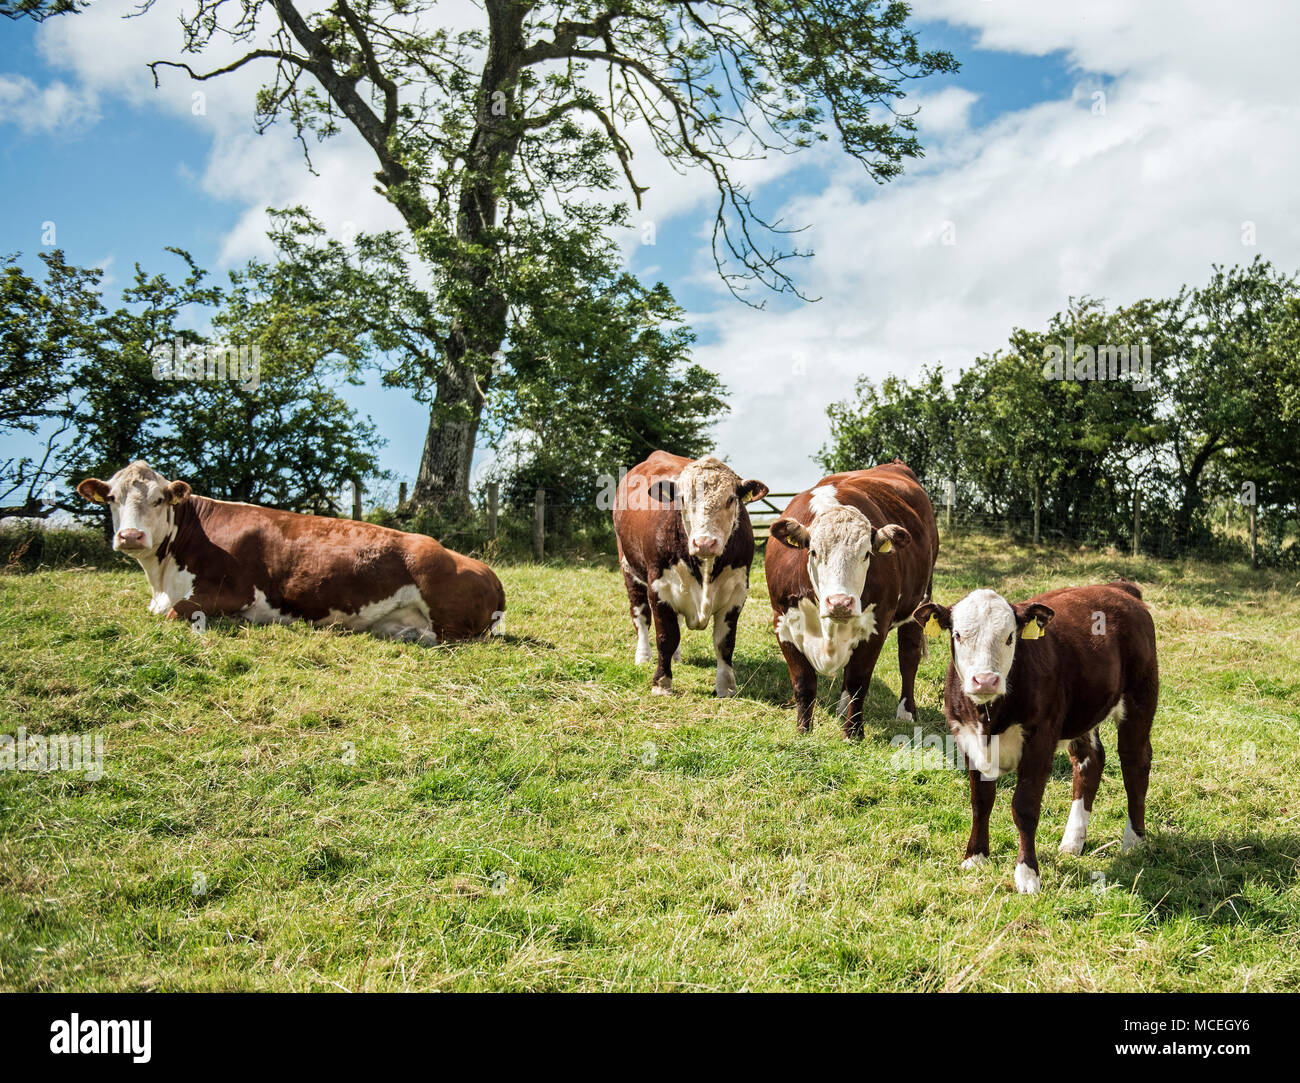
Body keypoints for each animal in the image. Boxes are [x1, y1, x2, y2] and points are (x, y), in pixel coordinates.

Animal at [74, 457, 501, 642]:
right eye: (111, 498)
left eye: (160, 499)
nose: (131, 537)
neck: (162, 579)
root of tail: (487, 571)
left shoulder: (229, 592)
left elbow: (174, 615)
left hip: (442, 602)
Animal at [613, 452, 764, 696]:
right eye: (682, 499)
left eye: (731, 499)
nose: (705, 542)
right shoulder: (658, 588)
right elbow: (666, 637)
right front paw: (662, 683)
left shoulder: (737, 592)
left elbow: (724, 643)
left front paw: (726, 686)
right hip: (629, 569)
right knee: (641, 617)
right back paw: (643, 656)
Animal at [764, 460, 941, 738]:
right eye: (813, 552)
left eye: (867, 554)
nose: (840, 603)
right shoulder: (782, 622)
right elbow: (804, 683)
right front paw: (803, 731)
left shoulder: (877, 625)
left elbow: (859, 681)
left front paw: (853, 734)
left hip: (919, 605)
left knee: (908, 657)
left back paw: (906, 712)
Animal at [915, 582, 1159, 894]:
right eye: (957, 635)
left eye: (1010, 637)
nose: (985, 680)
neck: (989, 718)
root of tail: (1118, 587)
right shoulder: (967, 740)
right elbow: (980, 801)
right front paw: (976, 856)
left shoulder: (1040, 739)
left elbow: (1025, 807)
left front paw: (1027, 874)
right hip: (1083, 714)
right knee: (1090, 762)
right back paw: (1072, 841)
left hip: (1140, 698)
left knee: (1135, 763)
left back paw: (1133, 841)